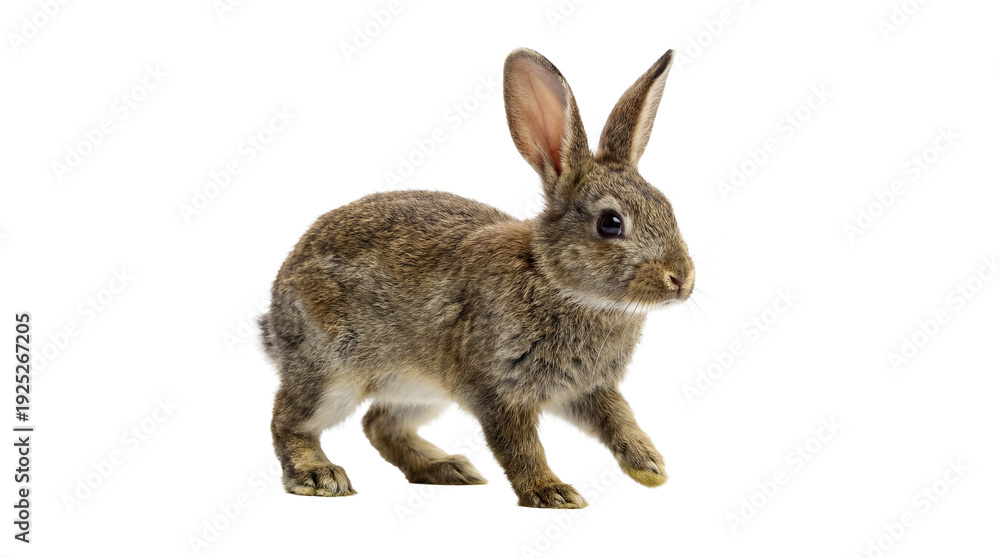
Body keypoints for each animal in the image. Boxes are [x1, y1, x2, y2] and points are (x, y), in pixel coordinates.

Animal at [259, 47, 693, 508]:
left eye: (668, 207)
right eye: (610, 224)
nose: (681, 279)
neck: (555, 281)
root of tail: (275, 314)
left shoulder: (588, 389)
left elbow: (618, 418)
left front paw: (649, 466)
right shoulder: (496, 389)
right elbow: (520, 447)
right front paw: (551, 491)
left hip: (421, 391)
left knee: (378, 424)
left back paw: (447, 468)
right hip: (332, 373)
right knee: (289, 420)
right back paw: (319, 475)